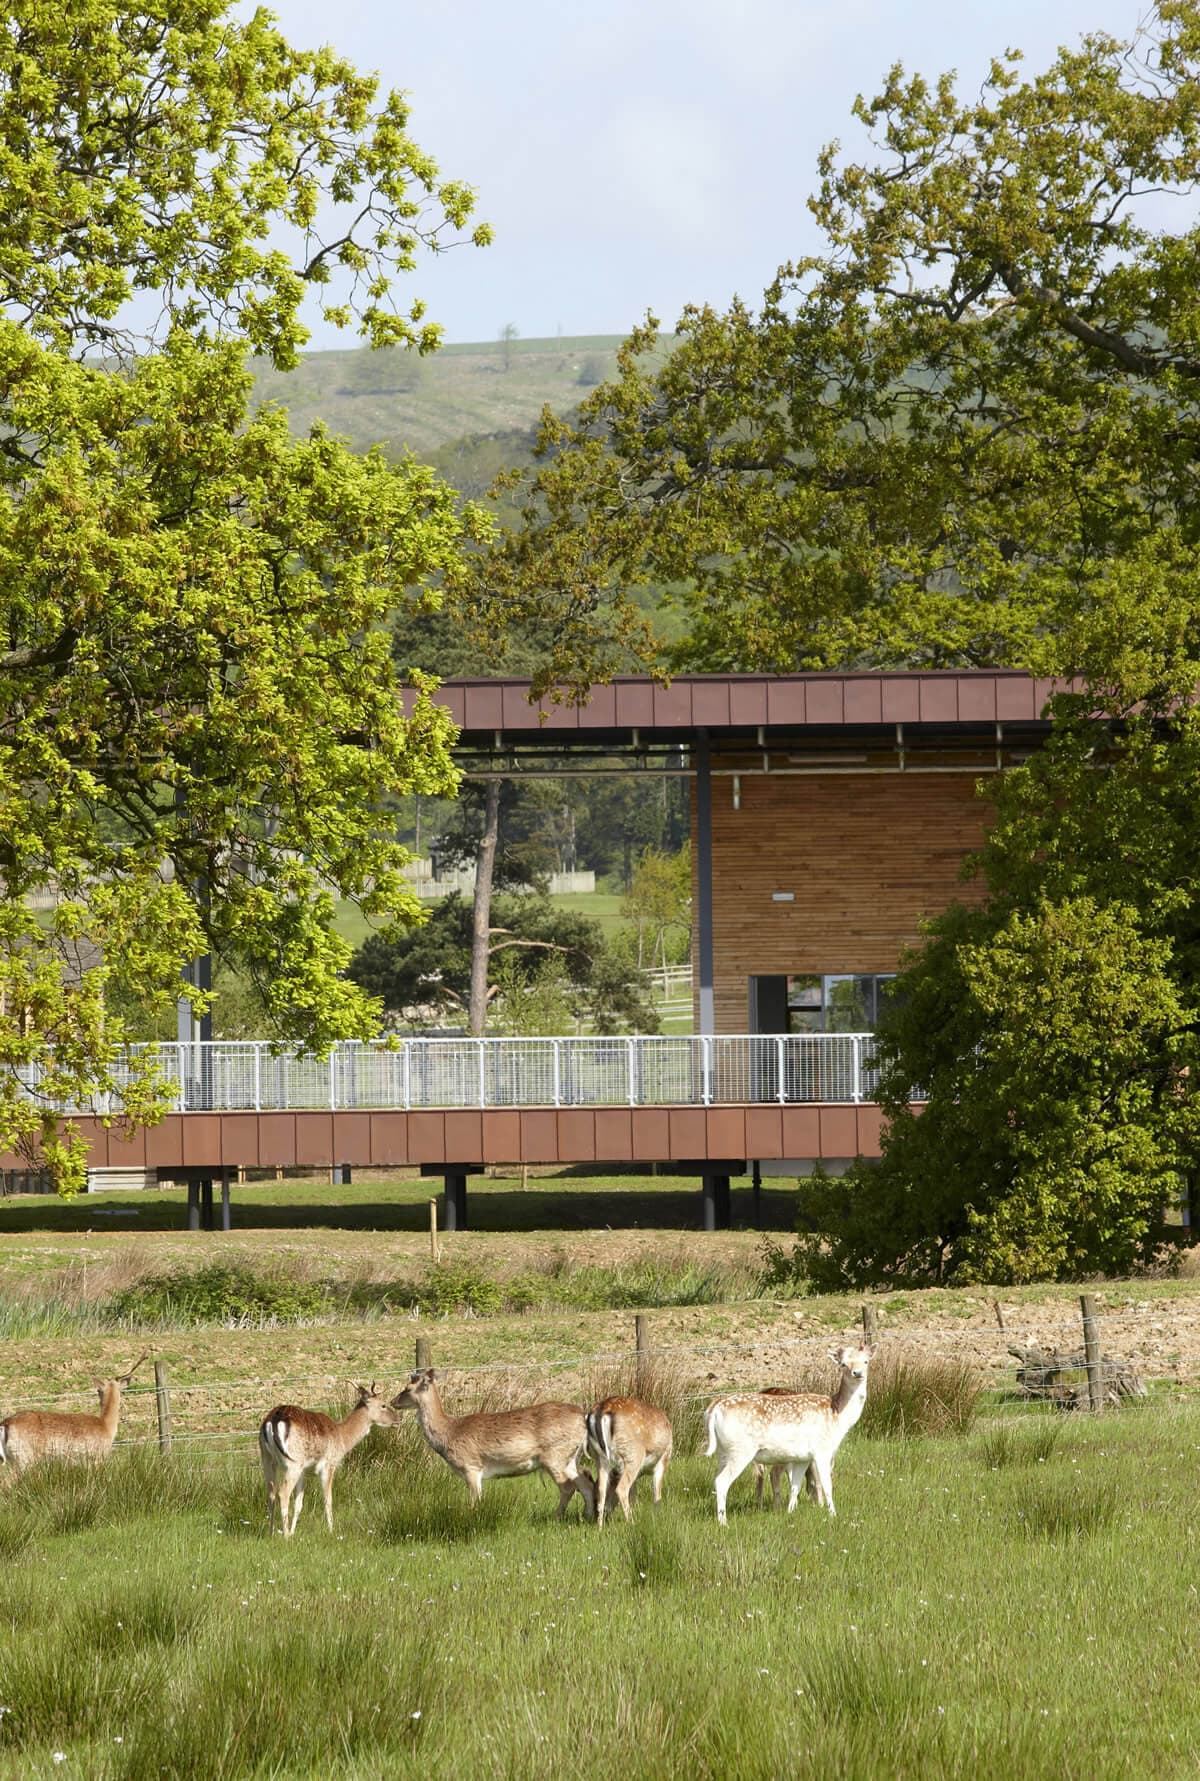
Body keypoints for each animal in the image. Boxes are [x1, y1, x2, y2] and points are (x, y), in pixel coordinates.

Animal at [0, 1353, 148, 1467]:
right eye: (98, 1390)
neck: (107, 1428)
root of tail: (5, 1424)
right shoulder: (97, 1458)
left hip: (12, 1459)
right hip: (25, 1457)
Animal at [256, 1382, 397, 1538]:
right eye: (383, 1404)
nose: (398, 1419)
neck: (342, 1439)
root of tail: (273, 1421)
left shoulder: (304, 1470)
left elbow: (299, 1503)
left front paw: (294, 1532)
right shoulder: (328, 1464)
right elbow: (327, 1499)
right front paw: (331, 1531)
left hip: (267, 1458)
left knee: (271, 1493)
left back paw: (271, 1533)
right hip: (293, 1463)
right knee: (282, 1493)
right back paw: (285, 1536)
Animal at [391, 1360, 594, 1517]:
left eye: (407, 1389)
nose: (393, 1402)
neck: (448, 1434)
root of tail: (583, 1416)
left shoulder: (471, 1466)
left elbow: (474, 1501)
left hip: (554, 1455)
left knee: (568, 1487)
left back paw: (557, 1516)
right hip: (571, 1457)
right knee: (585, 1483)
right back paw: (589, 1516)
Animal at [587, 1389, 672, 1531]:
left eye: (592, 1499)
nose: (591, 1515)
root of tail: (603, 1410)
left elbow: (634, 1494)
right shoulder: (664, 1458)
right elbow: (656, 1492)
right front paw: (656, 1520)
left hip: (600, 1458)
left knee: (602, 1489)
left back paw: (600, 1527)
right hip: (632, 1455)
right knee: (621, 1489)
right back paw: (631, 1523)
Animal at [701, 1339, 868, 1524]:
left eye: (866, 1361)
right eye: (843, 1364)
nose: (857, 1373)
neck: (838, 1415)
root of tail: (714, 1408)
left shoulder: (804, 1457)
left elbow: (796, 1485)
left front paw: (790, 1513)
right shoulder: (822, 1450)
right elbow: (826, 1484)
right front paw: (832, 1514)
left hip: (723, 1451)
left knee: (726, 1477)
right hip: (740, 1449)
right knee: (723, 1481)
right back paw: (723, 1522)